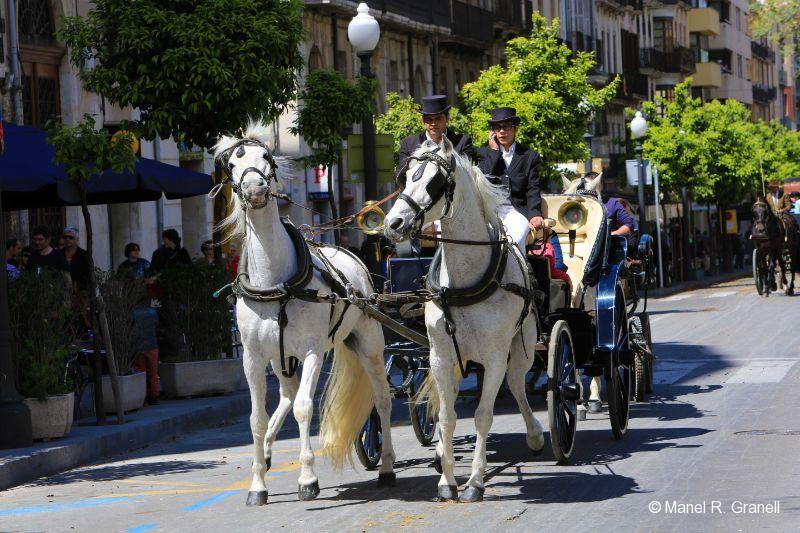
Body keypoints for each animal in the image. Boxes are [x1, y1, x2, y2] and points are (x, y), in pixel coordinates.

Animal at [382, 139, 544, 500]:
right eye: (404, 177)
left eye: (434, 182)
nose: (393, 224)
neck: (463, 281)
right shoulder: (440, 357)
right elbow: (446, 416)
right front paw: (447, 480)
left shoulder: (496, 357)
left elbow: (483, 415)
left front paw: (475, 482)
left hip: (522, 348)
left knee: (517, 384)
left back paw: (536, 433)